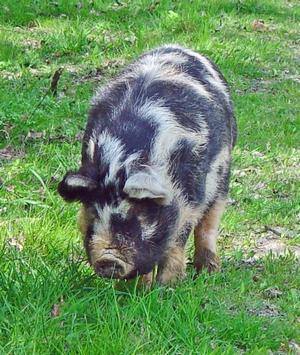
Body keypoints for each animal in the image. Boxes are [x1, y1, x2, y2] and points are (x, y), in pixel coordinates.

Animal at [58, 45, 237, 286]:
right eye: (93, 215)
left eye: (135, 217)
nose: (107, 260)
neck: (119, 164)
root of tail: (180, 46)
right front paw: (138, 289)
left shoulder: (189, 199)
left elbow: (177, 241)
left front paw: (167, 286)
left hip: (223, 174)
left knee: (210, 222)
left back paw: (209, 272)